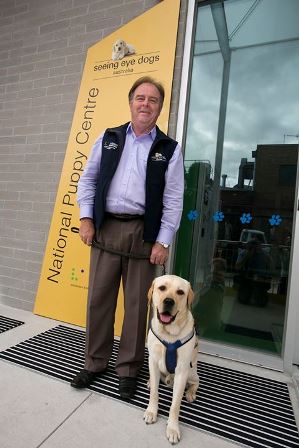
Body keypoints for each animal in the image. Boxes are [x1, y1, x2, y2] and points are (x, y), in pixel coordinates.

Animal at [145, 274, 200, 442]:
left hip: (191, 371)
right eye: (162, 288)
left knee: (196, 382)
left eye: (180, 292)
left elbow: (175, 404)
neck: (168, 333)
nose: (169, 301)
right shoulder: (153, 361)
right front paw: (151, 411)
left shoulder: (182, 370)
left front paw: (173, 428)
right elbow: (154, 393)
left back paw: (190, 393)